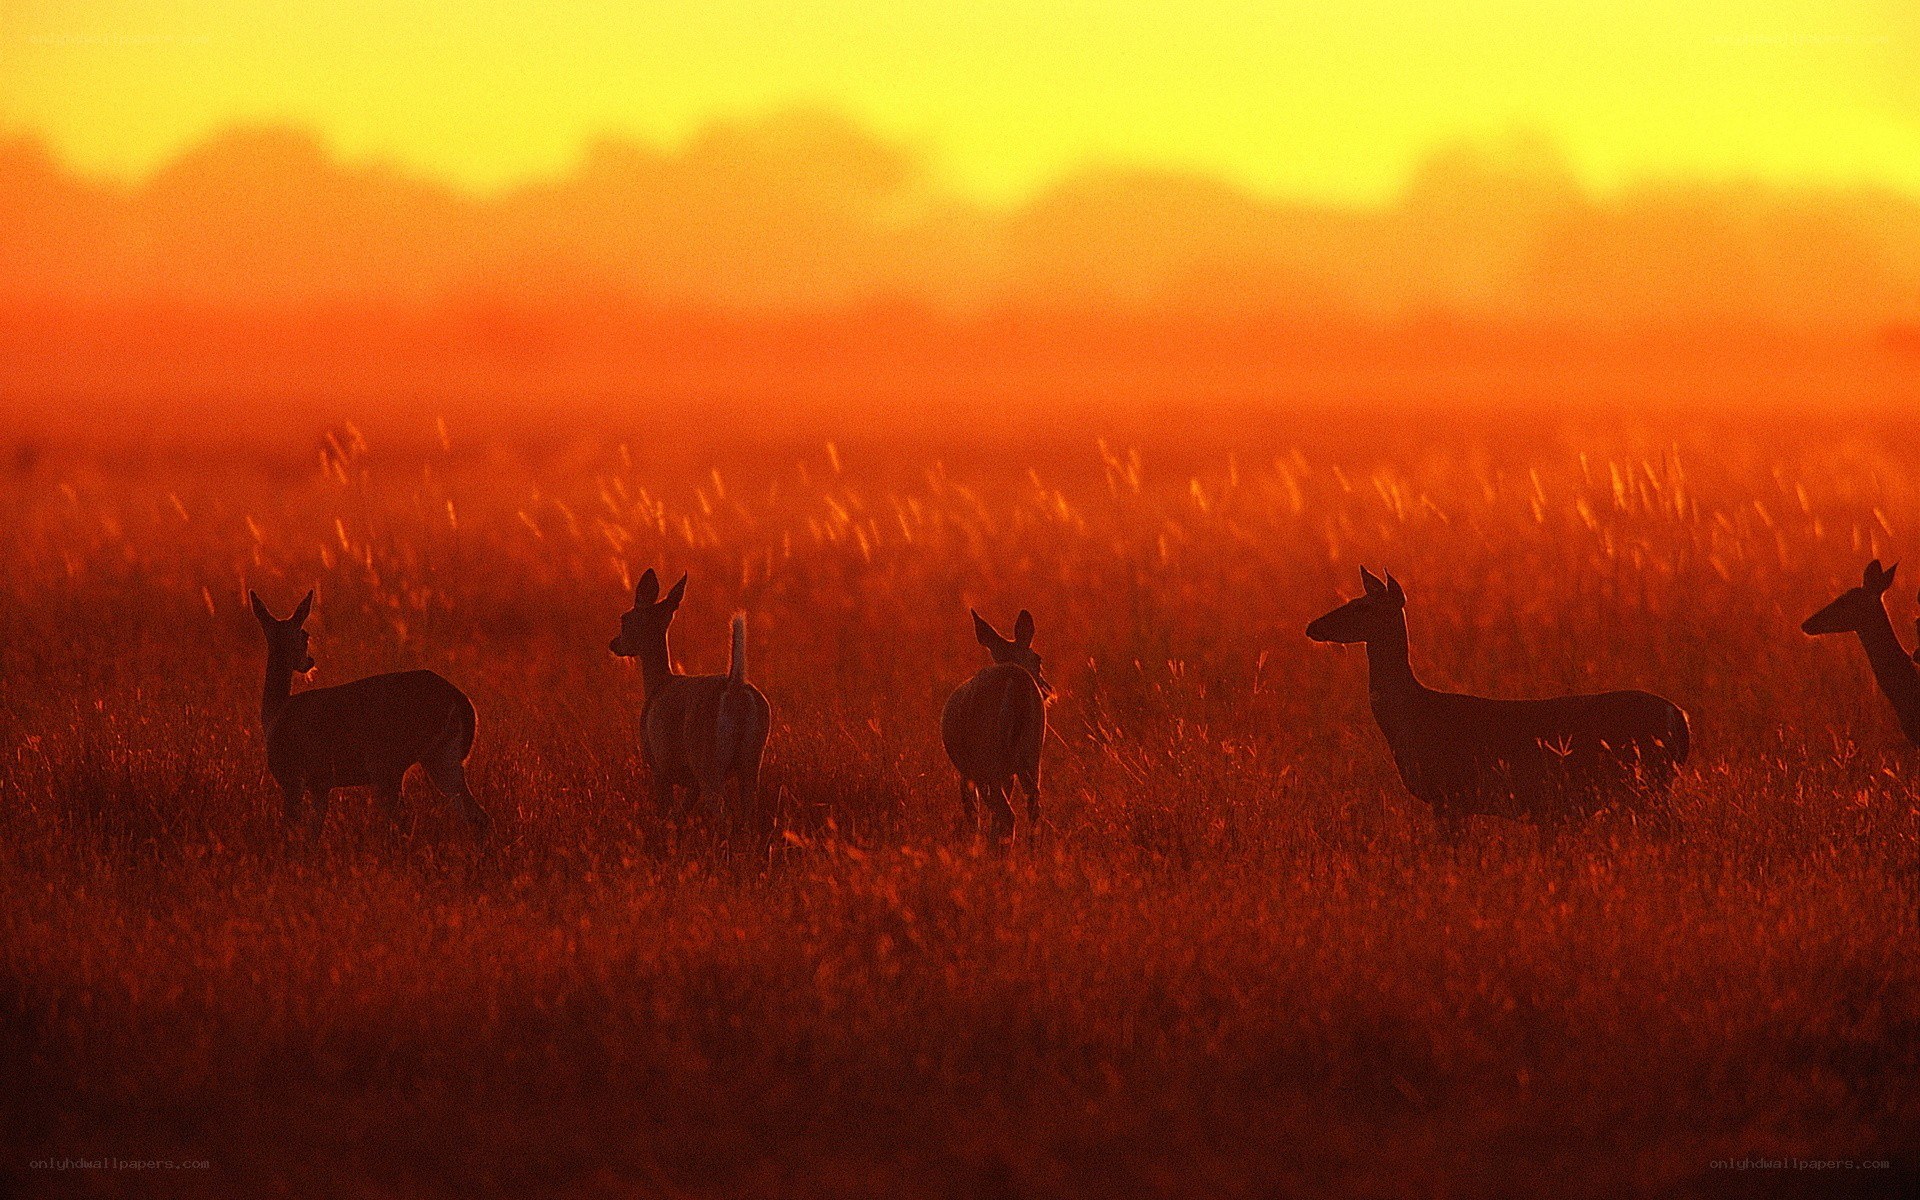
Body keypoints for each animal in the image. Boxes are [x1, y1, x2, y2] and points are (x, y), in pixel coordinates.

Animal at [249, 589, 491, 838]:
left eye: (305, 635)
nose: (309, 661)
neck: (275, 712)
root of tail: (462, 701)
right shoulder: (320, 784)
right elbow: (314, 830)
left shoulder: (292, 778)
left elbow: (292, 828)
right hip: (442, 756)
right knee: (477, 815)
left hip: (388, 763)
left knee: (404, 819)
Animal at [608, 569, 772, 823]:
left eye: (625, 619)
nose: (614, 644)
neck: (657, 683)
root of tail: (735, 686)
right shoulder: (691, 781)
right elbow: (682, 811)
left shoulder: (658, 765)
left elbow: (665, 810)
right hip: (752, 759)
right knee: (749, 813)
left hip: (708, 761)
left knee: (721, 813)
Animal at [942, 609, 1051, 846]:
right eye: (1038, 659)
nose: (1047, 690)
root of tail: (1016, 678)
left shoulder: (969, 771)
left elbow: (974, 814)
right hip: (1031, 754)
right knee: (1033, 807)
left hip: (989, 758)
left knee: (1006, 814)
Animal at [1305, 567, 1689, 838]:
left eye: (1362, 606)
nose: (1312, 626)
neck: (1413, 714)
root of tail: (1679, 716)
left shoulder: (1451, 796)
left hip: (1648, 782)